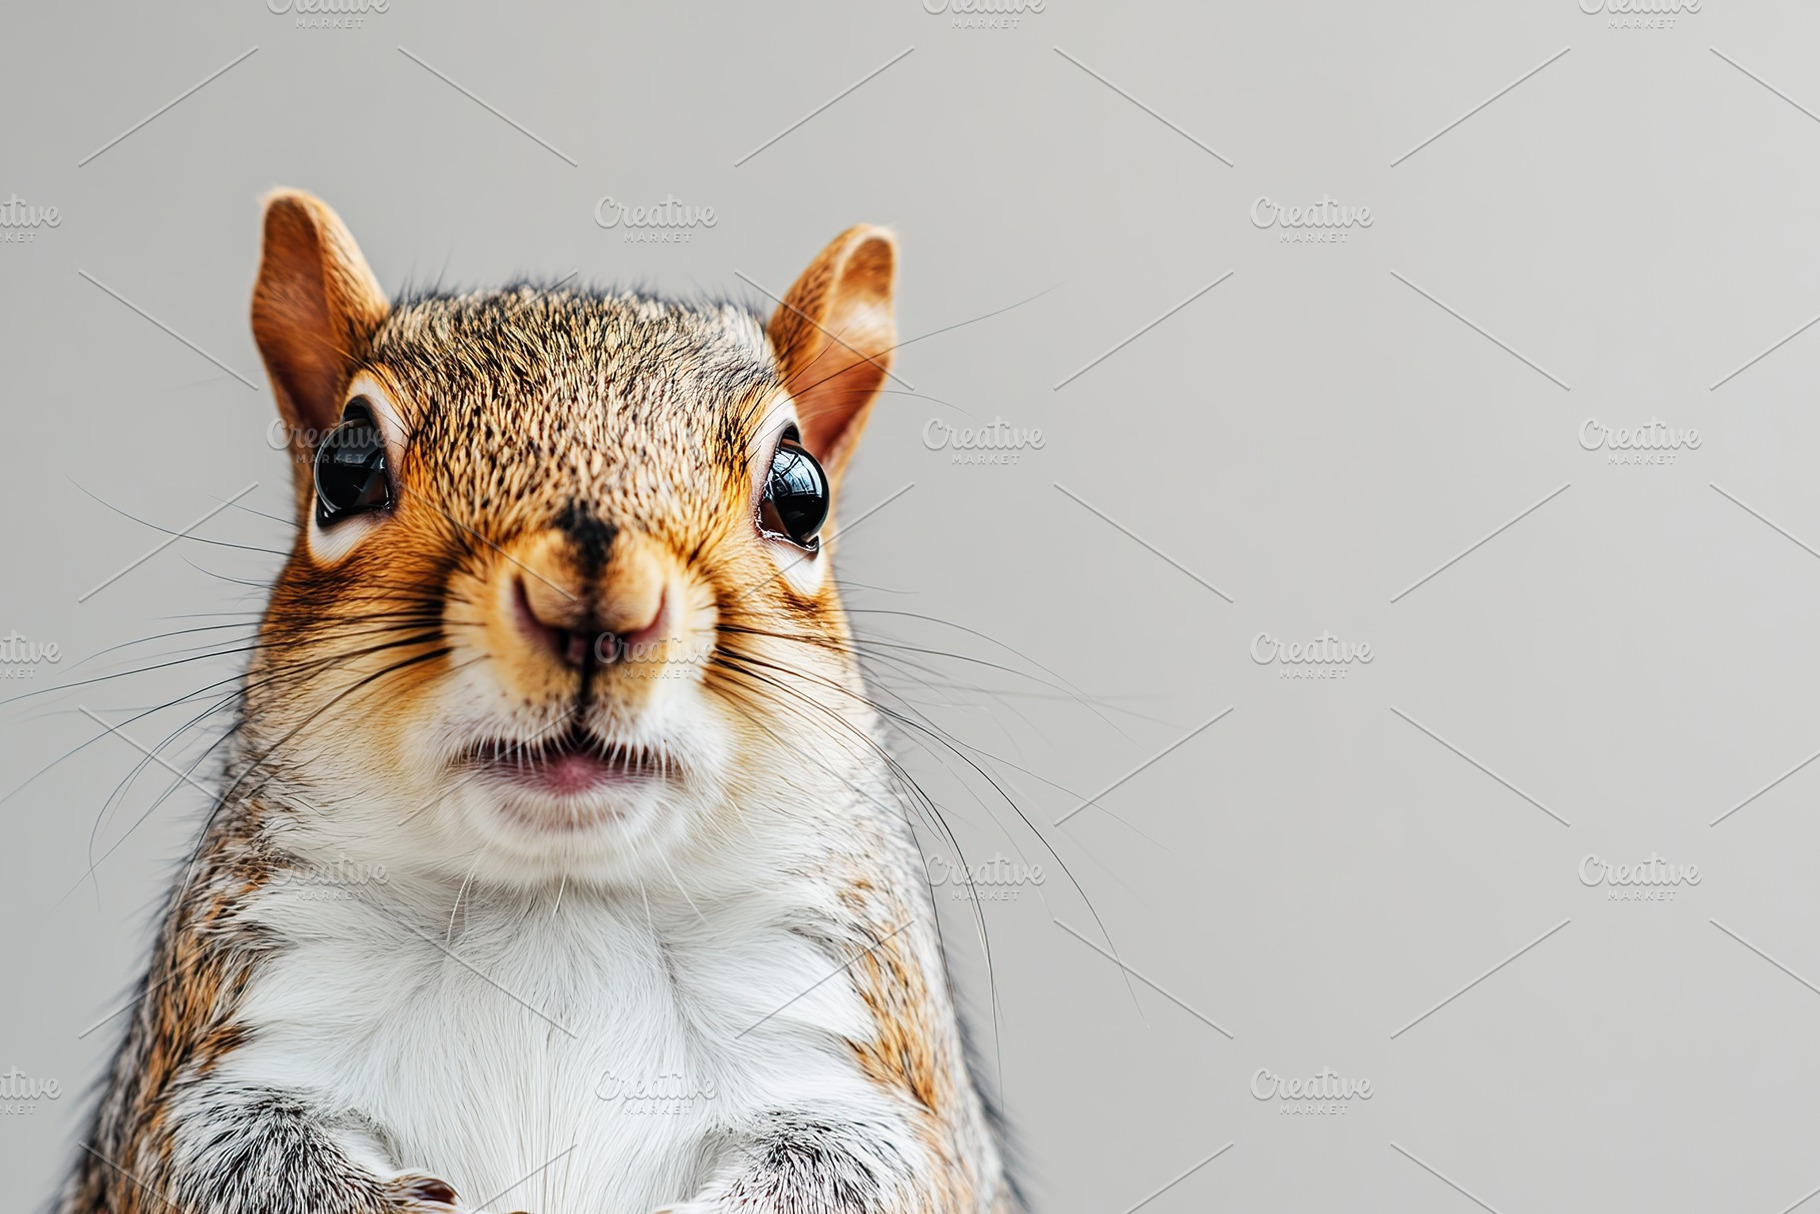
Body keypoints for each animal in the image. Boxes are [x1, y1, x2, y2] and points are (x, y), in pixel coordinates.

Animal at [58, 191, 1014, 1214]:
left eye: (802, 493)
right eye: (346, 466)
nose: (595, 606)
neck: (557, 907)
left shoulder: (860, 1053)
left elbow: (864, 1171)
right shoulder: (221, 1044)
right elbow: (230, 1161)